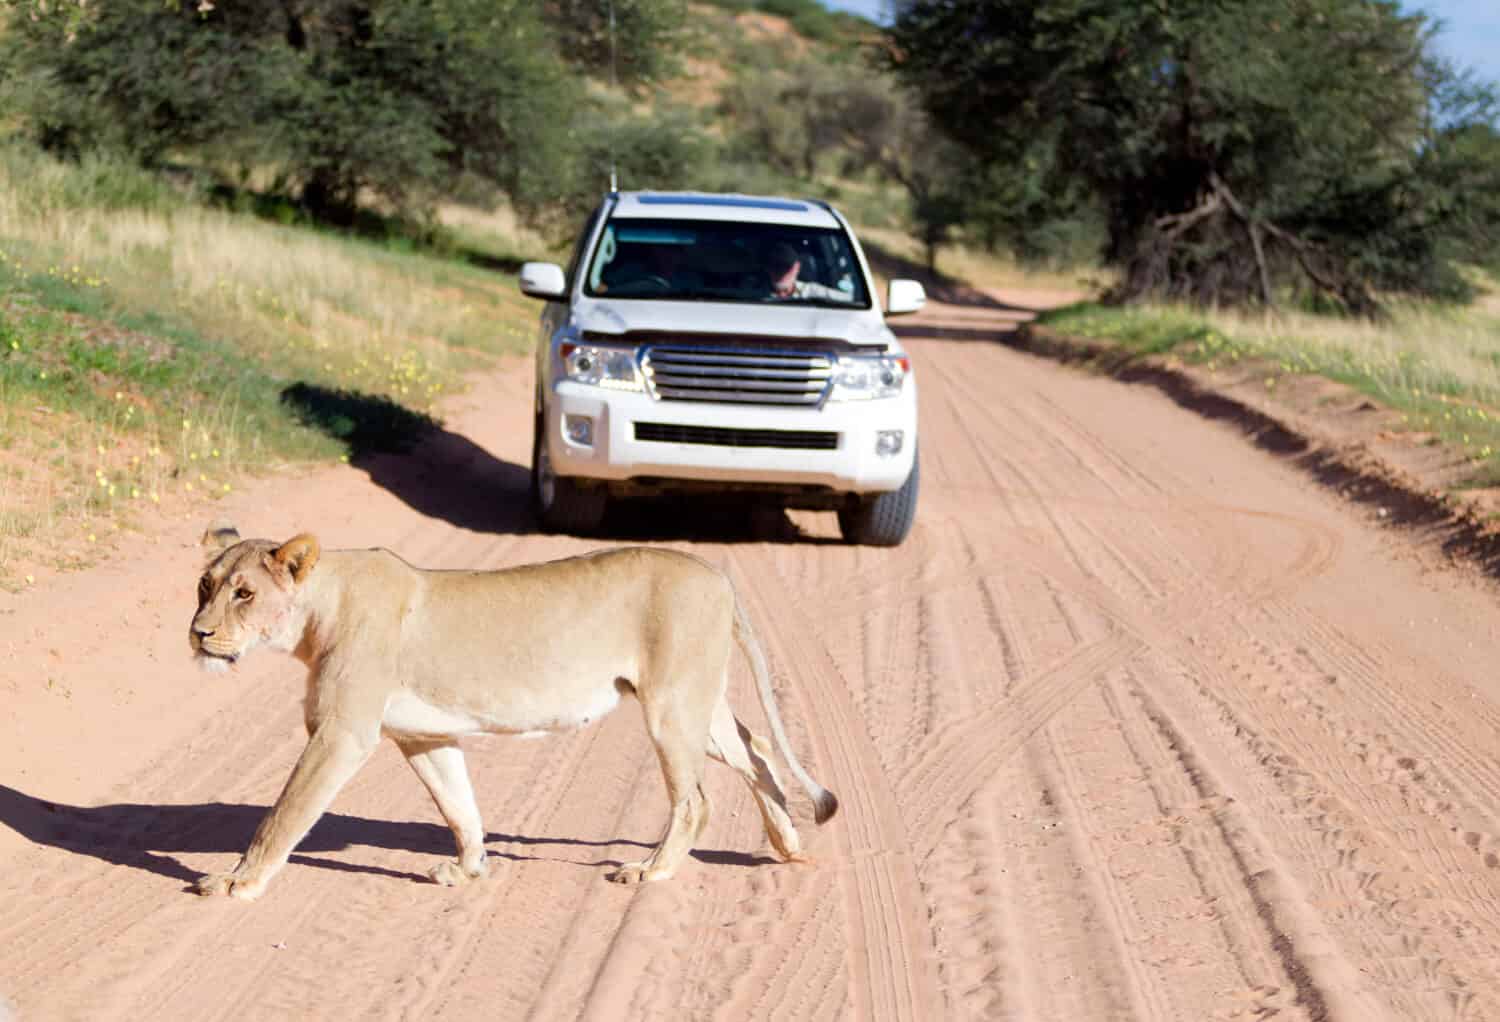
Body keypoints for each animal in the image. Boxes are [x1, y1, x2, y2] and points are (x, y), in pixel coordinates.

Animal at [187, 524, 838, 900]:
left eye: (245, 593)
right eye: (204, 586)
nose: (198, 633)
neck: (319, 608)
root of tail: (719, 574)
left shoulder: (341, 733)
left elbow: (283, 815)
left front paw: (237, 881)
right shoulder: (422, 736)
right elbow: (459, 805)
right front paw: (470, 870)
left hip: (670, 706)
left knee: (696, 799)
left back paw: (651, 871)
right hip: (695, 703)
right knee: (756, 748)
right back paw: (788, 843)